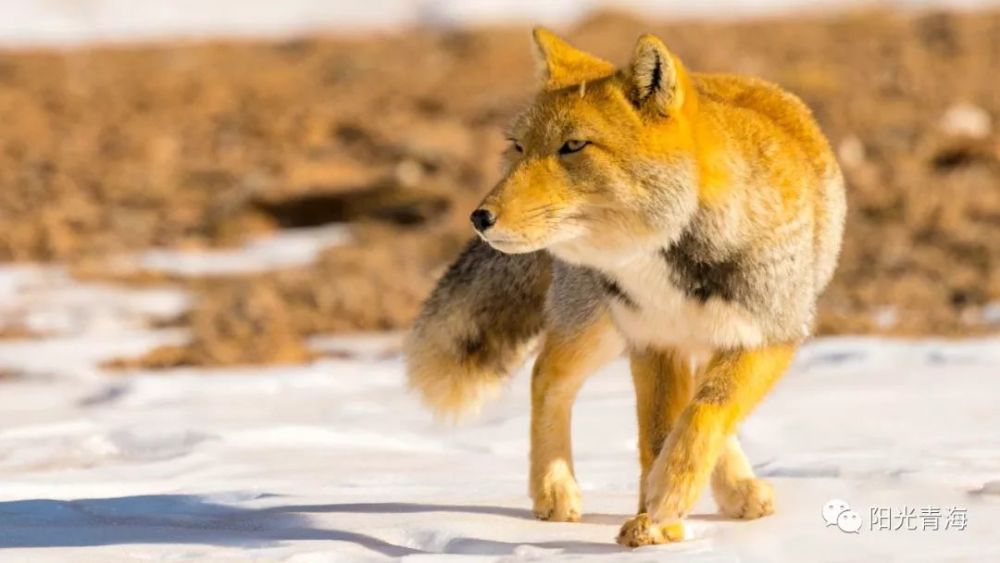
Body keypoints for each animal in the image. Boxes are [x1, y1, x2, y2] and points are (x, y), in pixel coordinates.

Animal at [404, 27, 844, 548]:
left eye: (573, 145)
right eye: (518, 147)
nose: (479, 217)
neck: (676, 265)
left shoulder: (770, 335)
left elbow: (704, 413)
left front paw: (666, 500)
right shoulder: (652, 343)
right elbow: (658, 436)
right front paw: (656, 521)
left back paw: (735, 489)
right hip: (598, 330)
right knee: (545, 376)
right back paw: (555, 490)